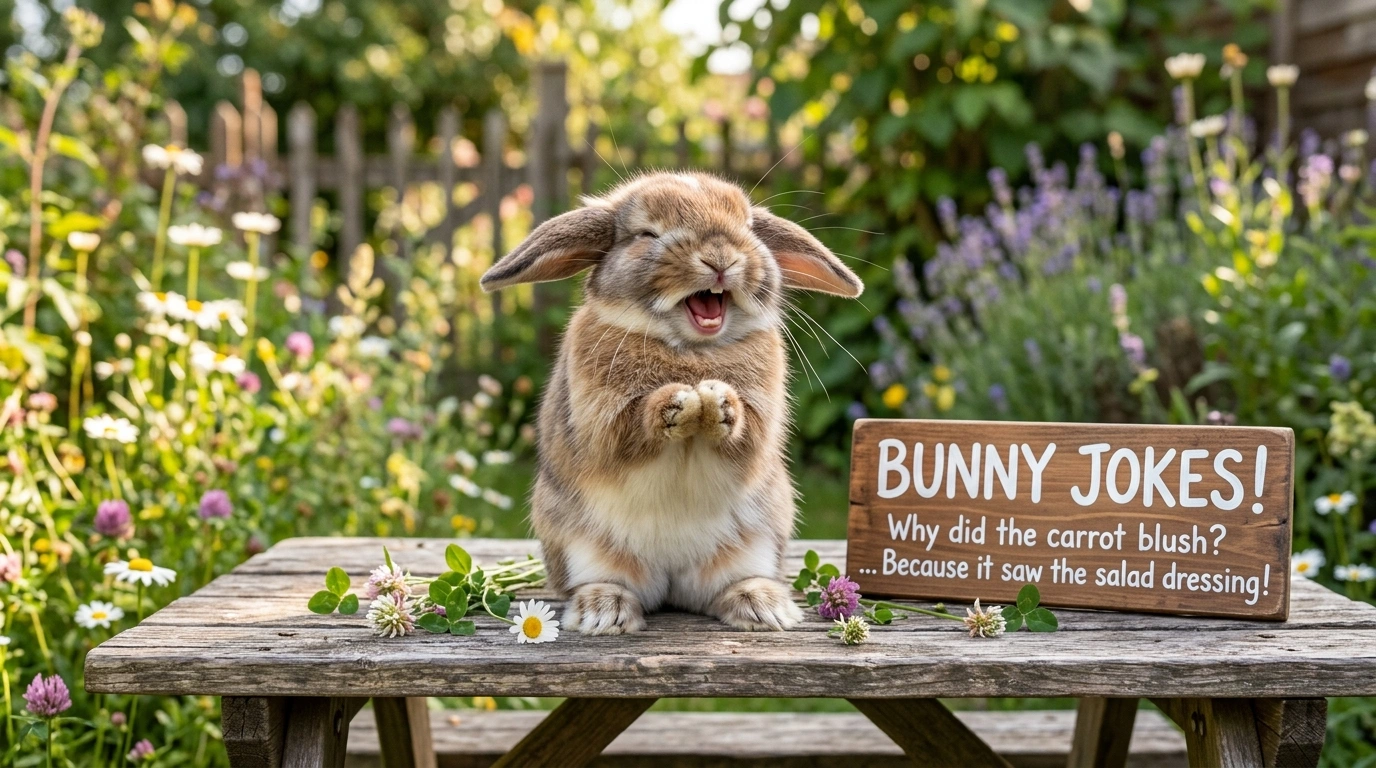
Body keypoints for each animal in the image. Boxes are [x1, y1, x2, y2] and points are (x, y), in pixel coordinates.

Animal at [480, 172, 863, 634]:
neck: (690, 347)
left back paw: (761, 606)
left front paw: (718, 403)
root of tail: (671, 583)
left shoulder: (761, 422)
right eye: (647, 234)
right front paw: (678, 401)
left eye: (749, 227)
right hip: (580, 546)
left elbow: (745, 433)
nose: (720, 258)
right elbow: (628, 431)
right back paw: (603, 611)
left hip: (756, 541)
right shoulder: (601, 421)